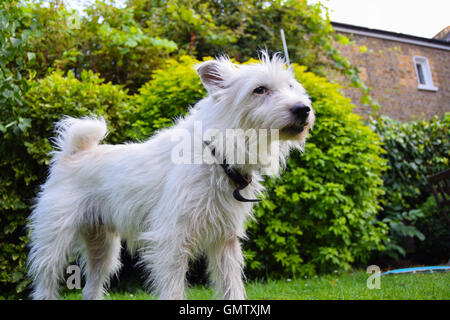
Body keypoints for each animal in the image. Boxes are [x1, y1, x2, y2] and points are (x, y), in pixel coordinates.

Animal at [26, 51, 314, 298]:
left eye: (291, 87)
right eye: (260, 89)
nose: (304, 109)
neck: (217, 153)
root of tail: (74, 152)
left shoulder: (225, 241)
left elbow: (232, 286)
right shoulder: (171, 241)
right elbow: (174, 290)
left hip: (103, 248)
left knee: (91, 287)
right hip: (55, 243)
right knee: (46, 283)